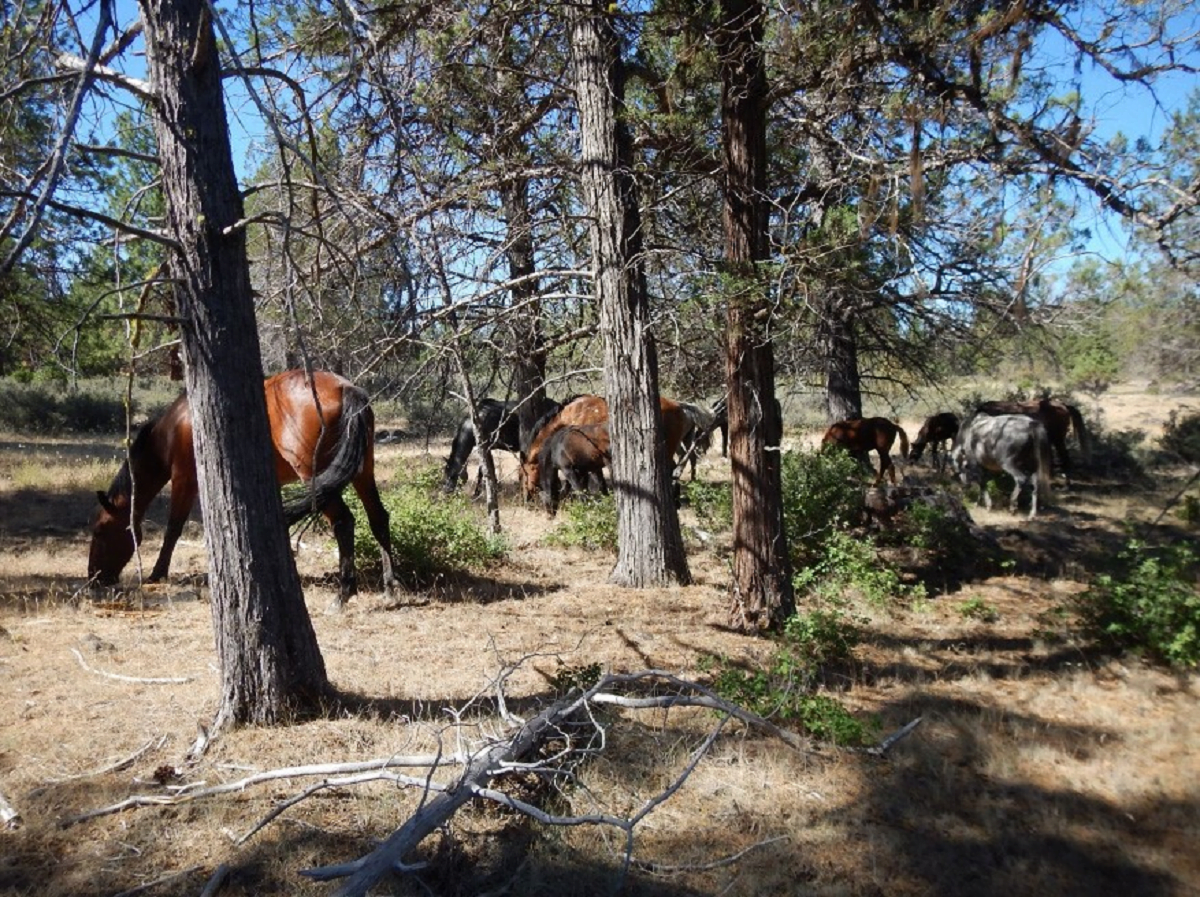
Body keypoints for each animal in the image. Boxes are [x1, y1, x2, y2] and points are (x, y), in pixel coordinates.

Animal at [90, 366, 398, 599]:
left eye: (101, 531)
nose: (95, 578)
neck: (177, 426)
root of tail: (346, 389)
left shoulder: (185, 480)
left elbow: (173, 528)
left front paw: (157, 573)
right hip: (361, 471)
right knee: (378, 518)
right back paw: (390, 587)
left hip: (315, 477)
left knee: (344, 521)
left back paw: (344, 593)